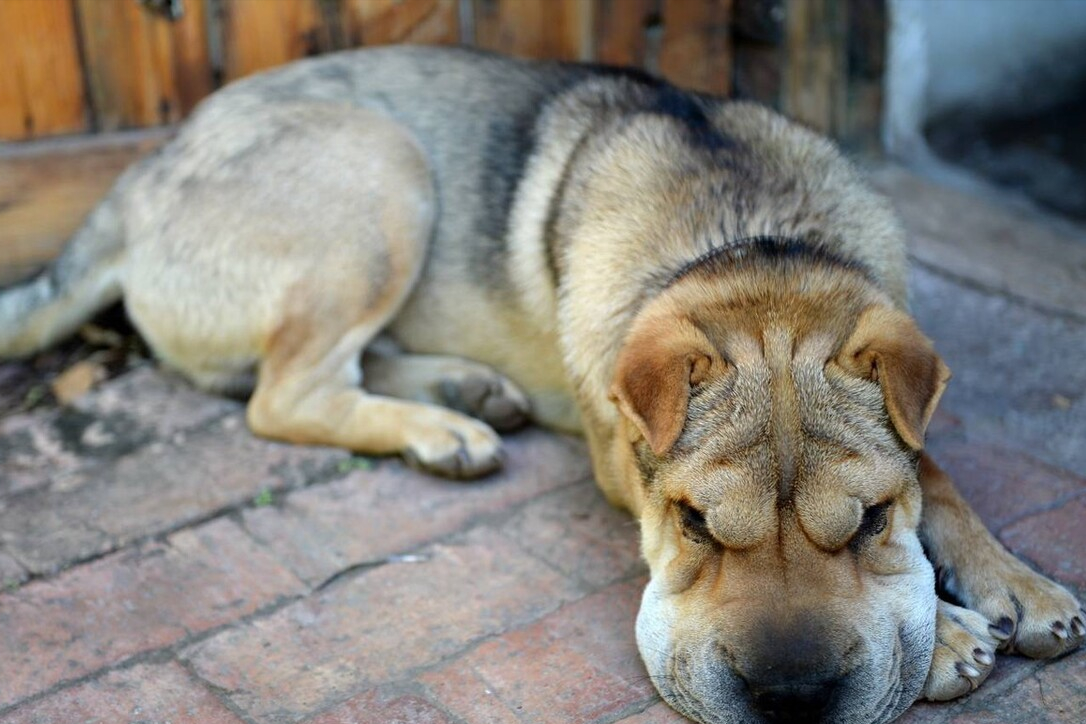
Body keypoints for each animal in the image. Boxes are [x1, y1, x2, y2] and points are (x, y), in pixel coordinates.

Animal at [0, 46, 1081, 724]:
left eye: (867, 522)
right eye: (692, 524)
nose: (789, 697)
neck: (747, 234)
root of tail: (135, 178)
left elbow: (938, 473)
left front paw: (1014, 581)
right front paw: (946, 634)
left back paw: (463, 393)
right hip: (379, 166)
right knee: (284, 393)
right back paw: (442, 430)